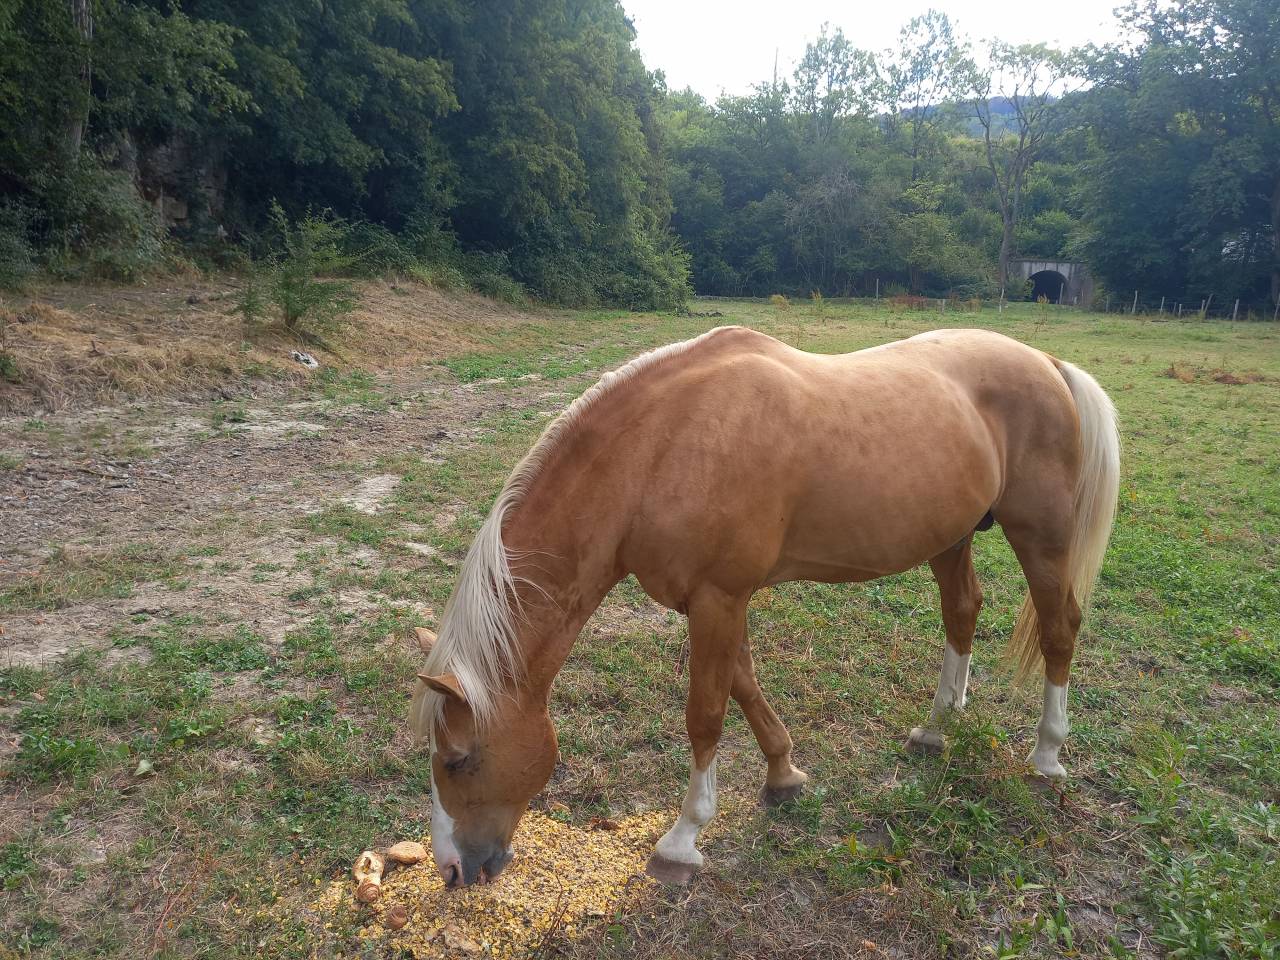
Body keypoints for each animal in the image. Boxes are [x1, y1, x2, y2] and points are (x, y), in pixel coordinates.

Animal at [410, 325, 1120, 887]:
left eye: (457, 759)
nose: (452, 869)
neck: (663, 449)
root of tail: (1047, 362)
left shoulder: (719, 598)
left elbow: (705, 715)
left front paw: (682, 840)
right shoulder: (716, 601)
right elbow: (744, 686)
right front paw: (783, 774)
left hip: (1042, 536)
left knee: (1060, 628)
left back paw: (1047, 757)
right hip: (951, 536)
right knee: (963, 611)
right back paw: (938, 726)